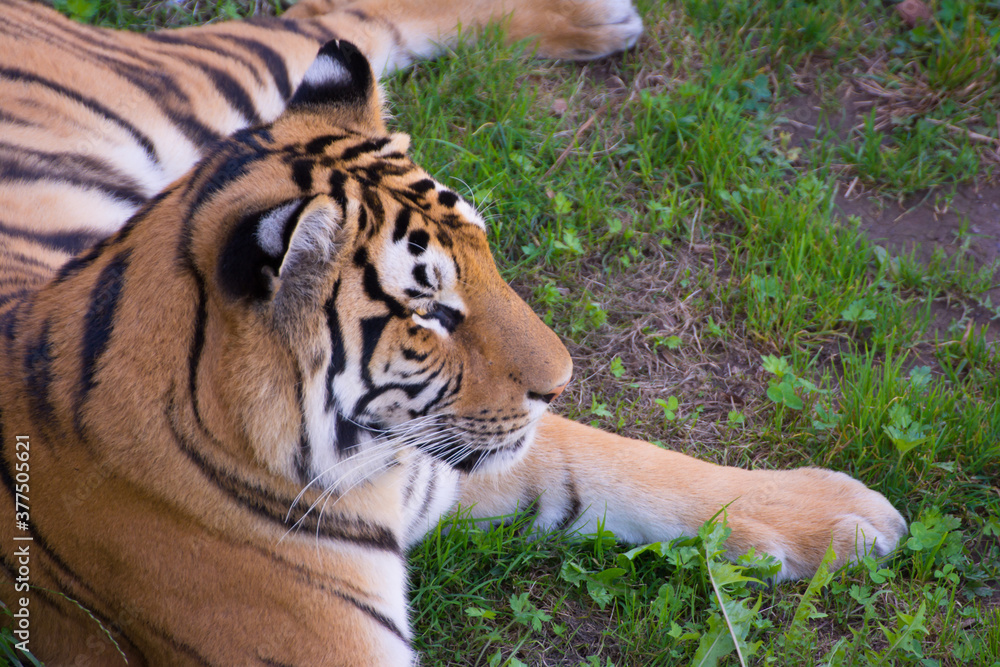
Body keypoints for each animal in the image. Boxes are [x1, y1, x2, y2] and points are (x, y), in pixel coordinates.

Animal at [0, 0, 908, 664]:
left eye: (487, 251)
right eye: (430, 311)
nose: (562, 380)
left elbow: (636, 466)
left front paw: (842, 511)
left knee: (334, 14)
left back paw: (597, 19)